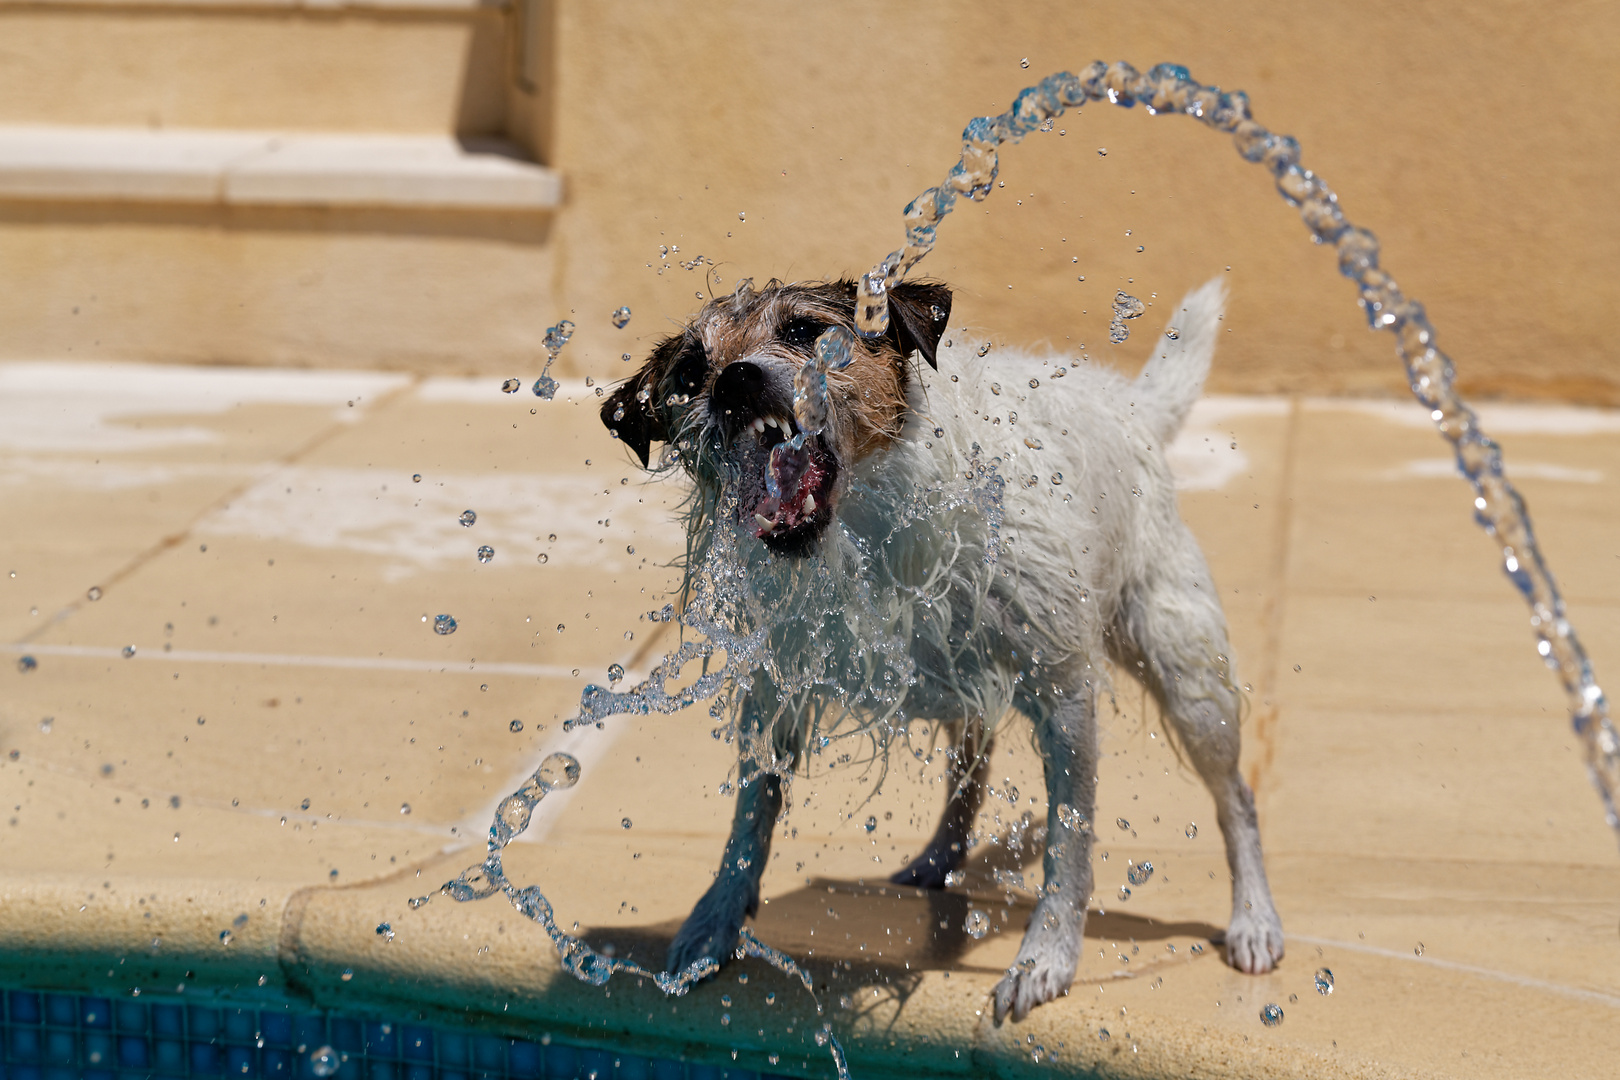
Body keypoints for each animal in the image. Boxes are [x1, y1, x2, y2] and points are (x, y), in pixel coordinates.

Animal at [602, 275, 1283, 1016]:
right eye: (690, 373)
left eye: (806, 331)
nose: (734, 381)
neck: (875, 532)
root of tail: (1129, 404)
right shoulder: (778, 683)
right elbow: (751, 814)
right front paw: (714, 923)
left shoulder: (1062, 685)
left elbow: (1070, 840)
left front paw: (1045, 958)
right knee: (972, 765)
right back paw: (937, 860)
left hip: (1186, 672)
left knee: (1236, 799)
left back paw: (1254, 918)